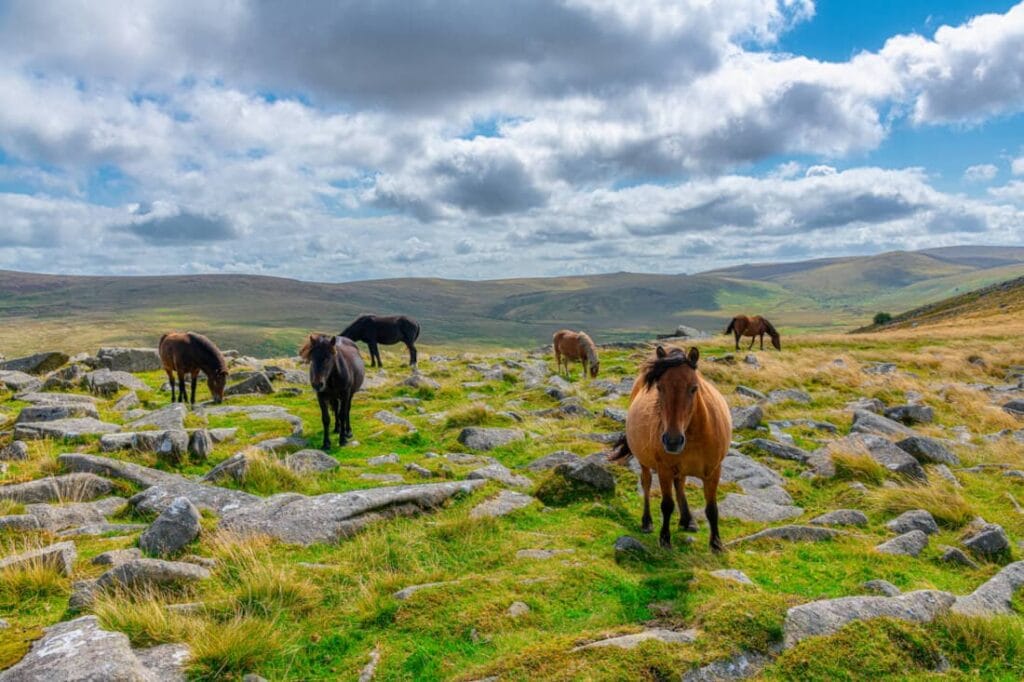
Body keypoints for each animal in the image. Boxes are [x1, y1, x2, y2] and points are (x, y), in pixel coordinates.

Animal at [609, 345, 732, 551]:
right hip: (645, 462)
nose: (673, 441)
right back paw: (647, 522)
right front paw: (665, 538)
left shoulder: (714, 471)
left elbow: (712, 508)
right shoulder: (664, 469)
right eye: (659, 387)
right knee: (646, 483)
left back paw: (687, 520)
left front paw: (716, 543)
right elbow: (667, 505)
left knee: (680, 484)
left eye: (694, 388)